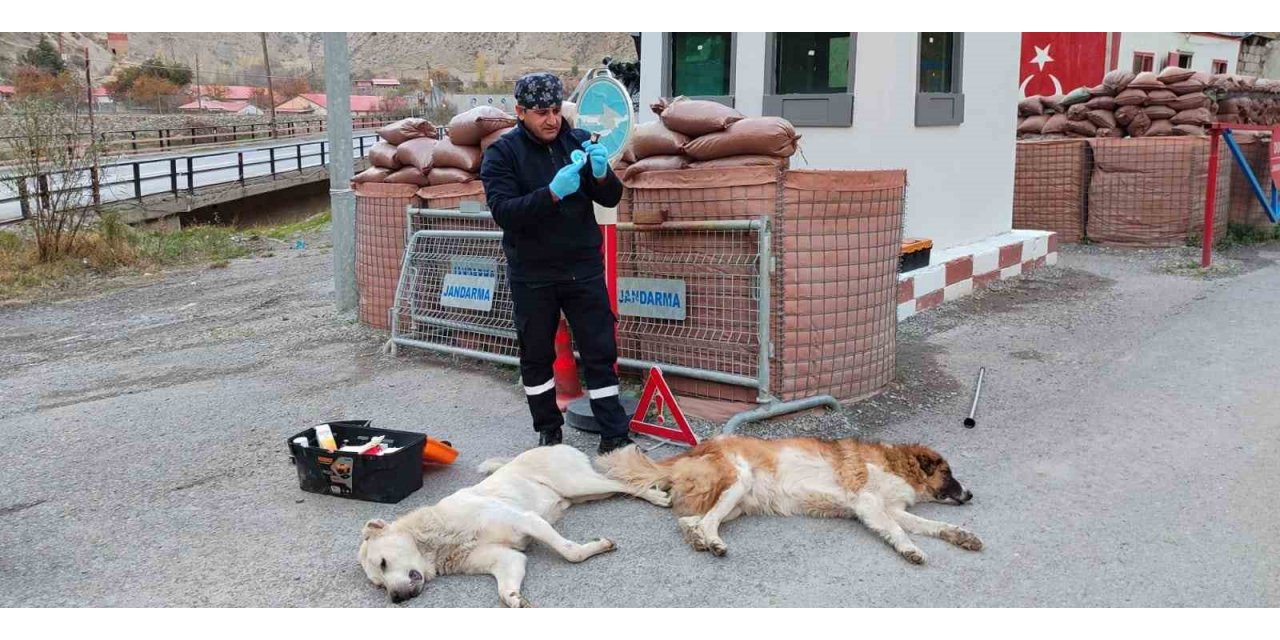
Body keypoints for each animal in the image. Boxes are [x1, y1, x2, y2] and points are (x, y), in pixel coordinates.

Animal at [358, 442, 670, 606]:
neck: (440, 538)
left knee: (625, 483)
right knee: (618, 487)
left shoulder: (529, 521)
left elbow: (570, 552)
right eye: (379, 585)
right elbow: (504, 589)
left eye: (383, 563)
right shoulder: (508, 559)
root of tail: (553, 444)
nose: (396, 598)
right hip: (585, 494)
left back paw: (658, 493)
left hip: (580, 484)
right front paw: (516, 599)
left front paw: (598, 546)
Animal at [596, 435, 977, 565]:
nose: (970, 494)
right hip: (739, 481)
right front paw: (911, 550)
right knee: (705, 522)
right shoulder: (868, 504)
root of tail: (698, 447)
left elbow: (932, 524)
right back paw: (714, 544)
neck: (898, 464)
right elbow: (899, 532)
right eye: (950, 473)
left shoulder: (893, 508)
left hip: (736, 505)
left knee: (691, 521)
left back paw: (699, 541)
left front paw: (961, 535)